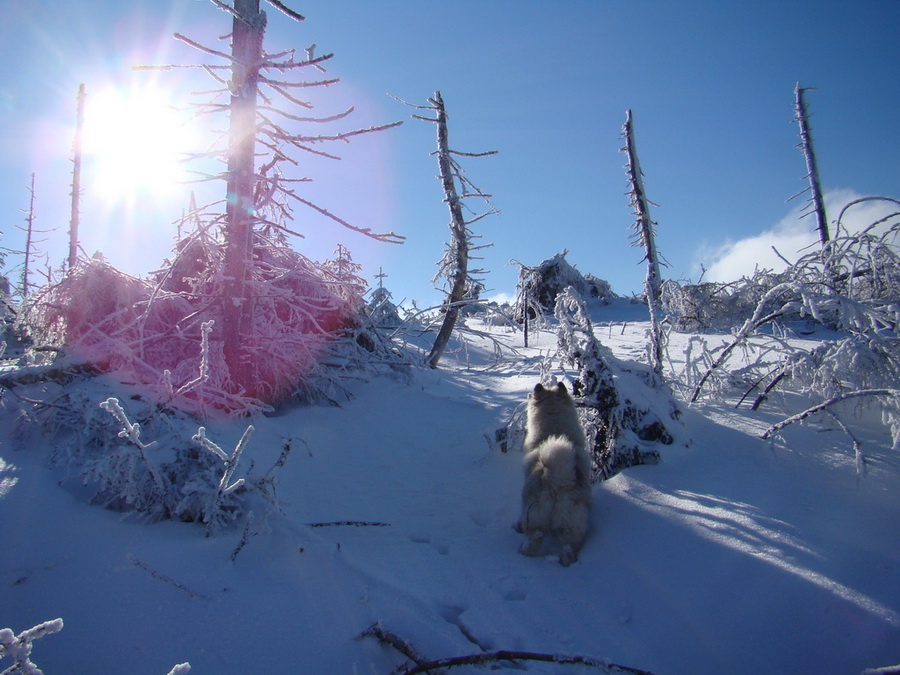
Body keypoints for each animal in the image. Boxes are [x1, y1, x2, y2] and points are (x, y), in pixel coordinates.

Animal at [516, 382, 596, 568]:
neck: (555, 431)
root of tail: (558, 482)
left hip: (533, 517)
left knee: (534, 541)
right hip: (572, 526)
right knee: (568, 550)